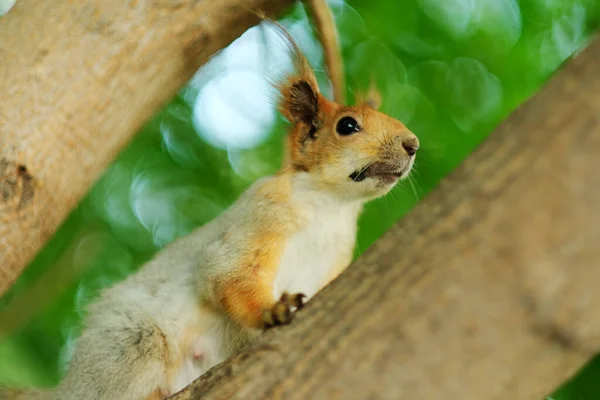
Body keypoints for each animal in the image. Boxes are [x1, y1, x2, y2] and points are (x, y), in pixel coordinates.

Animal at [0, 3, 420, 400]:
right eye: (347, 126)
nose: (413, 143)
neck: (331, 207)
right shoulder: (260, 215)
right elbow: (227, 272)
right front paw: (273, 309)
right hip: (130, 344)